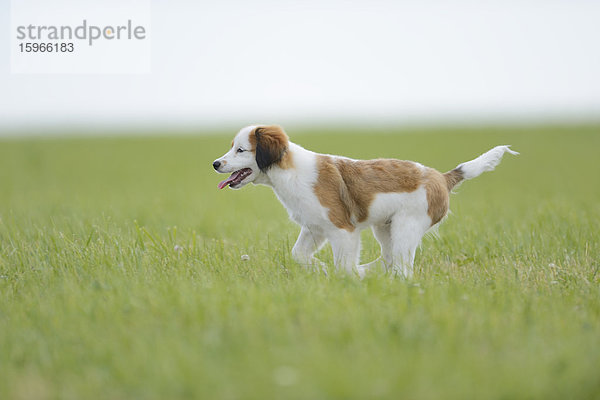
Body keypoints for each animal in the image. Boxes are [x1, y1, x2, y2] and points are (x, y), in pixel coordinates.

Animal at [213, 126, 516, 278]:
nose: (215, 163)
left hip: (406, 227)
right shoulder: (315, 228)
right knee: (389, 259)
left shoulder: (342, 230)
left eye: (241, 150)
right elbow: (298, 255)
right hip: (385, 228)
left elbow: (343, 266)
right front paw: (322, 270)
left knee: (403, 268)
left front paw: (347, 279)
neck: (290, 171)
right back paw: (371, 272)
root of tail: (442, 177)